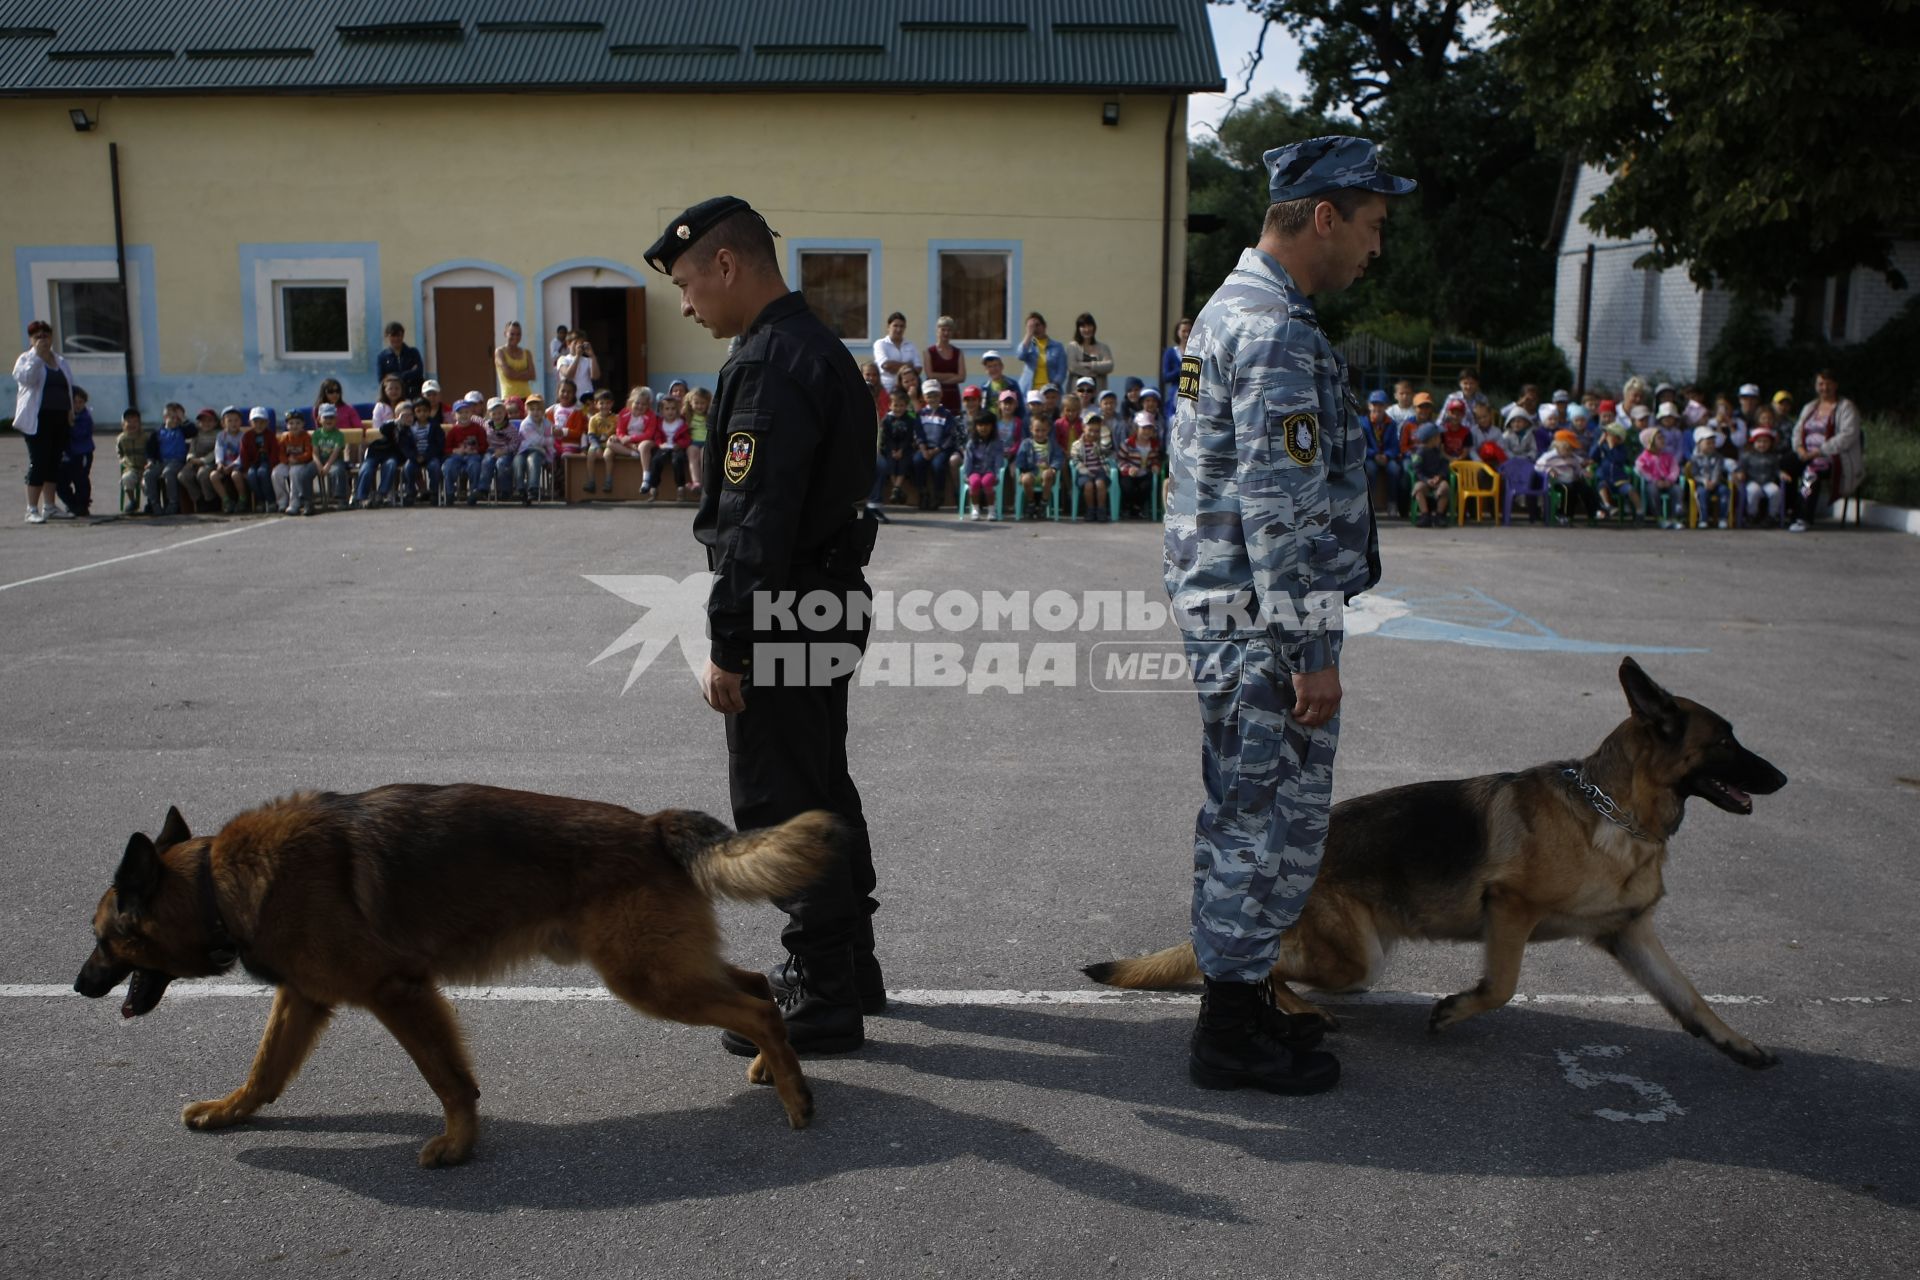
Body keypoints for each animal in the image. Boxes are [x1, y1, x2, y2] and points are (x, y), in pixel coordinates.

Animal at [76, 786, 840, 1166]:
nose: (81, 984)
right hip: (666, 967)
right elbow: (265, 1069)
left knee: (756, 1007)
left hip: (648, 979)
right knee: (756, 986)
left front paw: (459, 1146)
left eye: (103, 937)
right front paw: (230, 1111)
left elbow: (448, 1078)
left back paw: (795, 1096)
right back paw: (773, 1069)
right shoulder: (305, 998)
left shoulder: (400, 993)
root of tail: (652, 825)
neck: (217, 883)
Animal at [1090, 660, 1789, 1074]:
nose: (1782, 778)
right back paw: (1301, 1012)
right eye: (1726, 740)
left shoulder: (1631, 932)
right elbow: (1500, 986)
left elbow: (1688, 996)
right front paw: (1454, 1010)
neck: (1615, 811)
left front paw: (1734, 1042)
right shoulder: (1510, 909)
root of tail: (1280, 859)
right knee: (1258, 967)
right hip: (1355, 960)